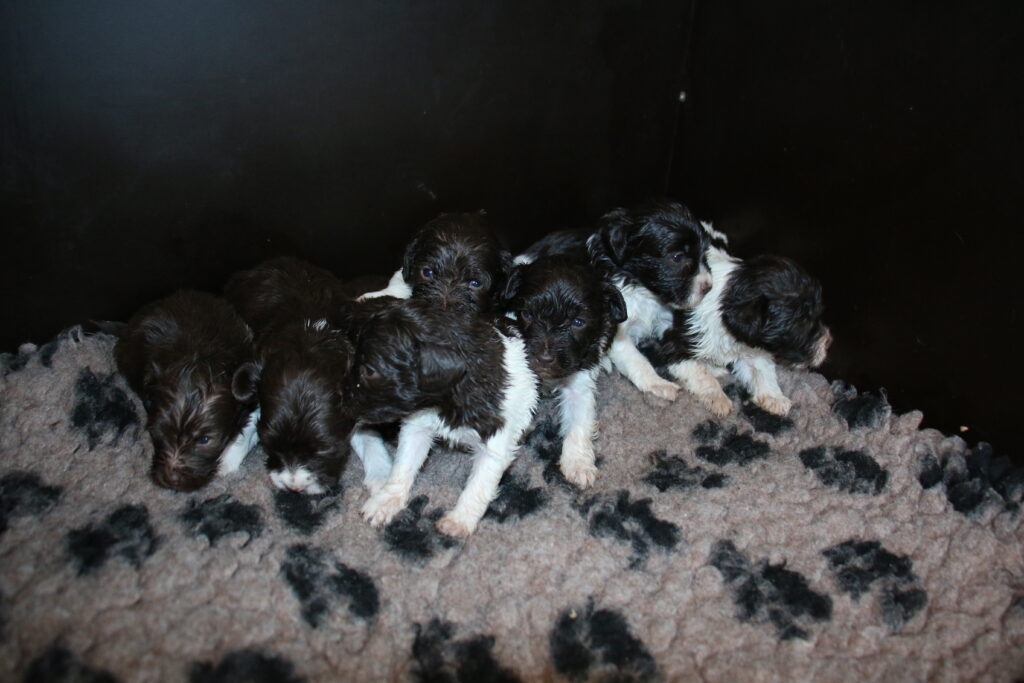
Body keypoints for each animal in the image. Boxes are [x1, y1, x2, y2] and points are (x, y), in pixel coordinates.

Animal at [224, 257, 391, 495]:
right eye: (268, 444)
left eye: (326, 449)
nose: (294, 487)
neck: (310, 336)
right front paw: (224, 463)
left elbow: (367, 435)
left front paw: (380, 477)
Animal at [346, 297, 538, 537]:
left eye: (369, 371)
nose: (342, 398)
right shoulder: (417, 425)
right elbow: (403, 465)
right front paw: (386, 501)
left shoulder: (496, 437)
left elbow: (479, 484)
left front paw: (459, 520)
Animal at [502, 255, 626, 487]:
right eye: (527, 314)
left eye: (578, 322)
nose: (543, 359)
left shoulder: (581, 378)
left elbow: (579, 420)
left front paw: (578, 464)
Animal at [518, 199, 713, 401]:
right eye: (677, 258)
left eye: (705, 253)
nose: (708, 287)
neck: (640, 288)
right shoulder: (617, 331)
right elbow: (637, 360)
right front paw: (658, 383)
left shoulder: (666, 323)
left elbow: (686, 356)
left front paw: (714, 393)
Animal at [643, 223, 832, 416]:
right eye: (802, 323)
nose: (828, 342)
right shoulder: (677, 344)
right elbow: (701, 374)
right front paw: (718, 398)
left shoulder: (752, 346)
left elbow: (763, 369)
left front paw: (774, 397)